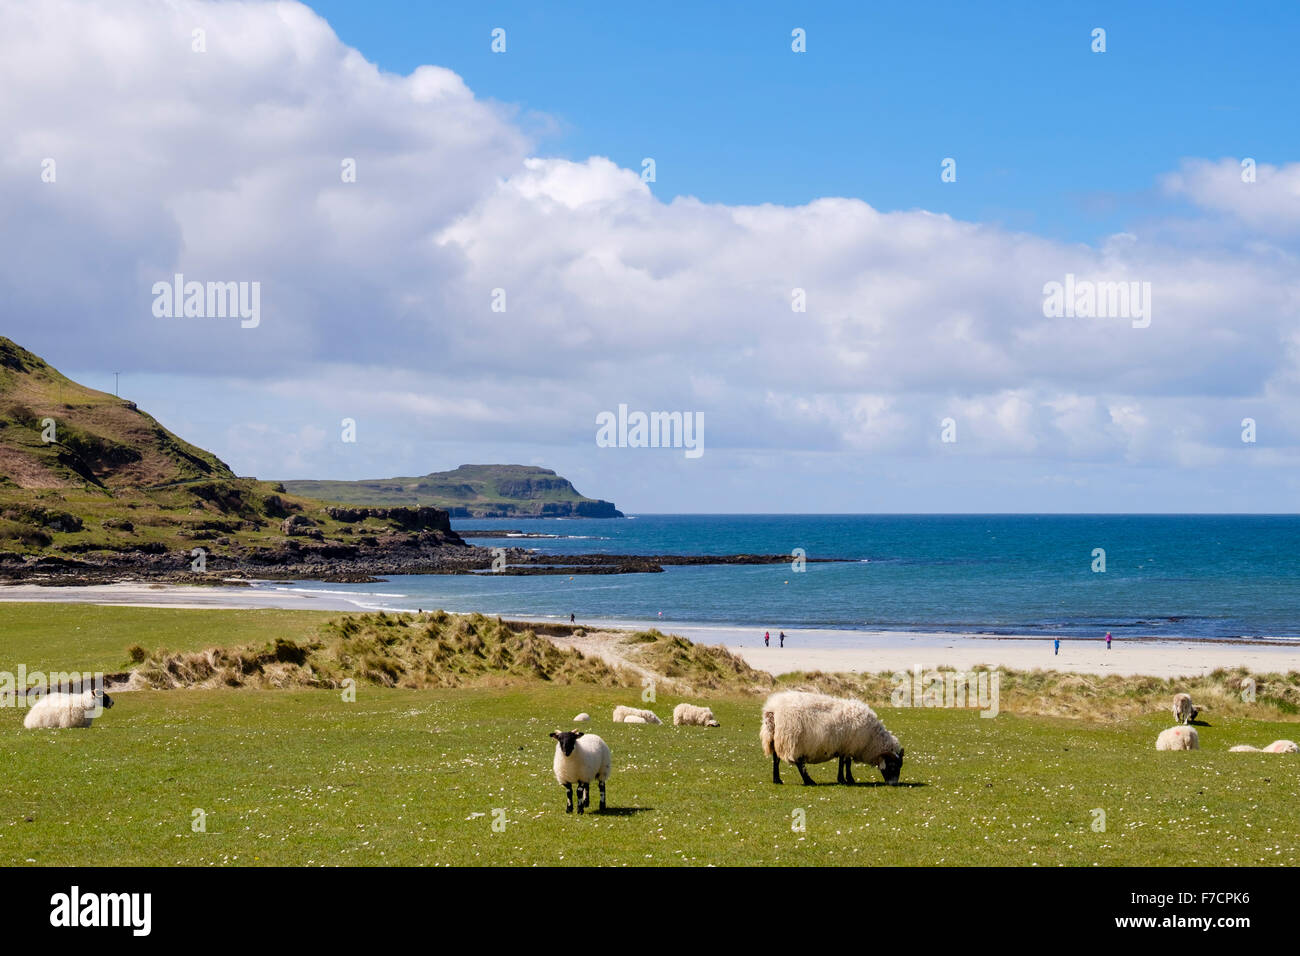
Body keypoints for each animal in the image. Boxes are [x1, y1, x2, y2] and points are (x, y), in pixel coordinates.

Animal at [759, 697, 904, 785]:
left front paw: (844, 779)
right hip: (793, 741)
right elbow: (846, 763)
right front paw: (847, 779)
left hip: (776, 739)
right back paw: (809, 781)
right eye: (893, 766)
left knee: (776, 759)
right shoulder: (849, 746)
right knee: (799, 764)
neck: (872, 739)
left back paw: (777, 780)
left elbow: (843, 762)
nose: (893, 784)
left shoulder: (844, 746)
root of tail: (773, 710)